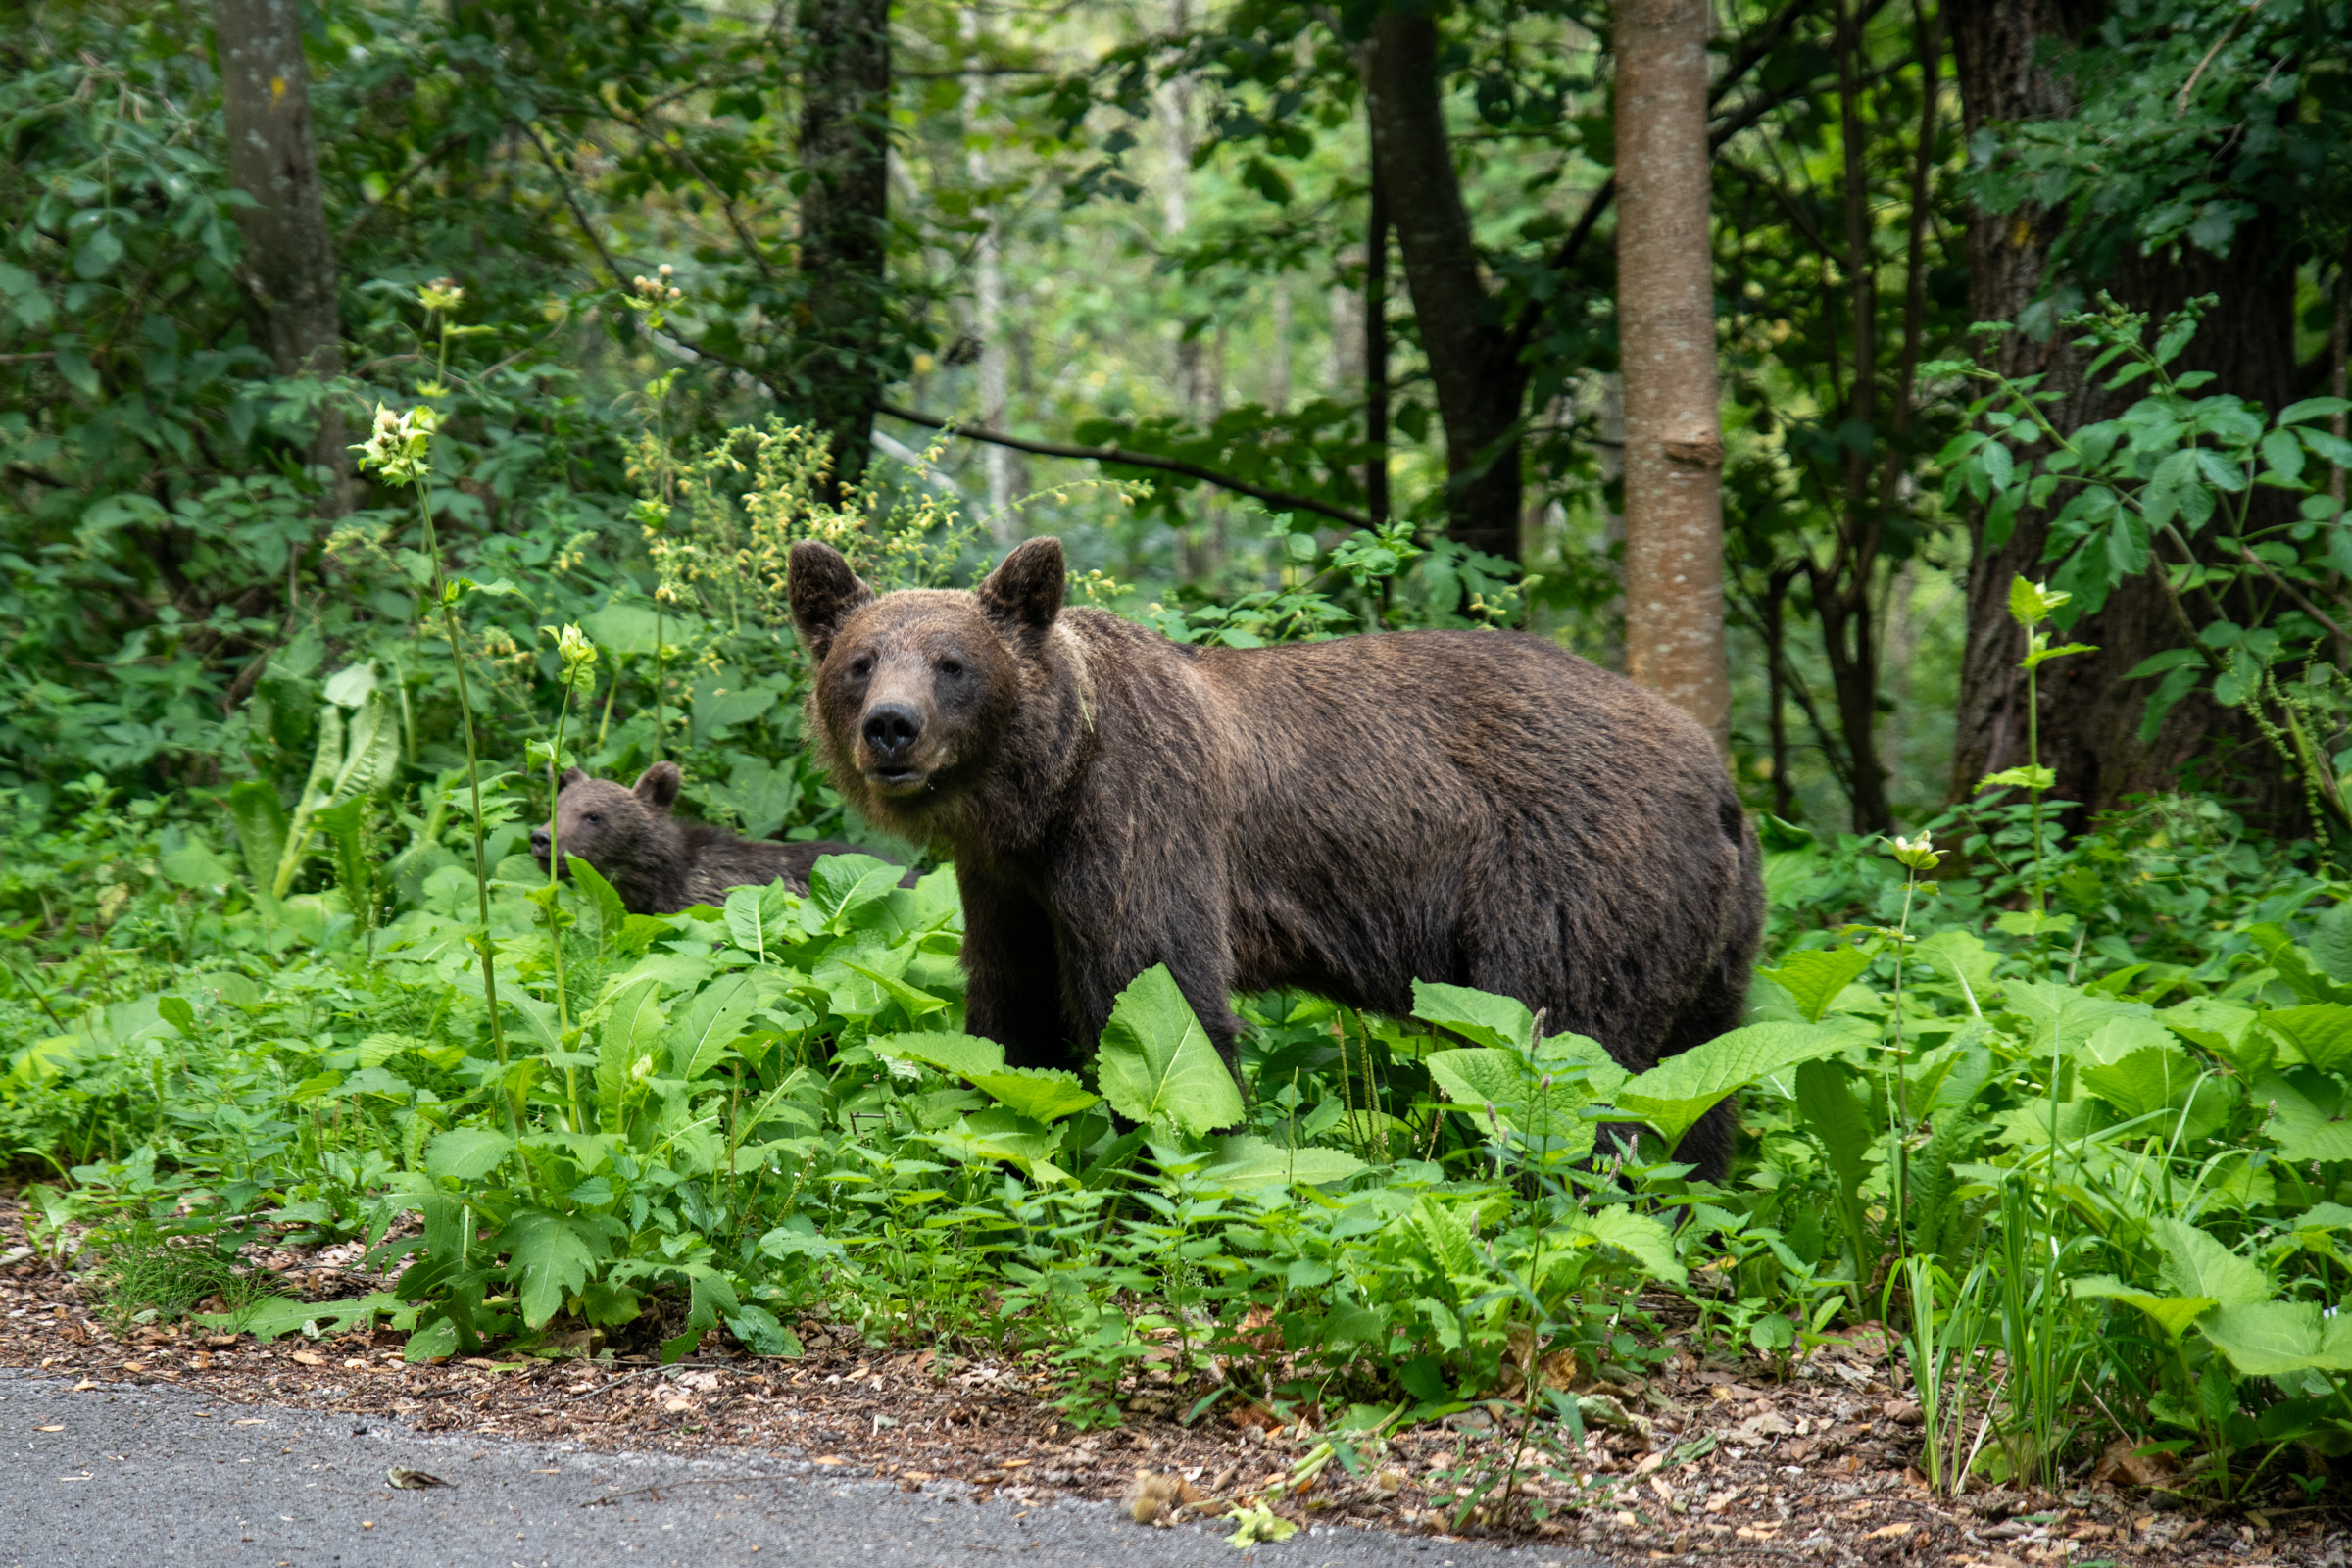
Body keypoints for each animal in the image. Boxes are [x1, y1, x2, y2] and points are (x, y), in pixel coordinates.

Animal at [790, 540, 1768, 1175]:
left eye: (952, 662)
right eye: (861, 659)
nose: (891, 727)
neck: (1047, 786)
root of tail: (1716, 781)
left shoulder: (1143, 818)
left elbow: (1158, 997)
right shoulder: (1009, 883)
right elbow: (1011, 1013)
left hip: (1572, 880)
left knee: (1565, 1052)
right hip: (1710, 939)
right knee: (1698, 1077)